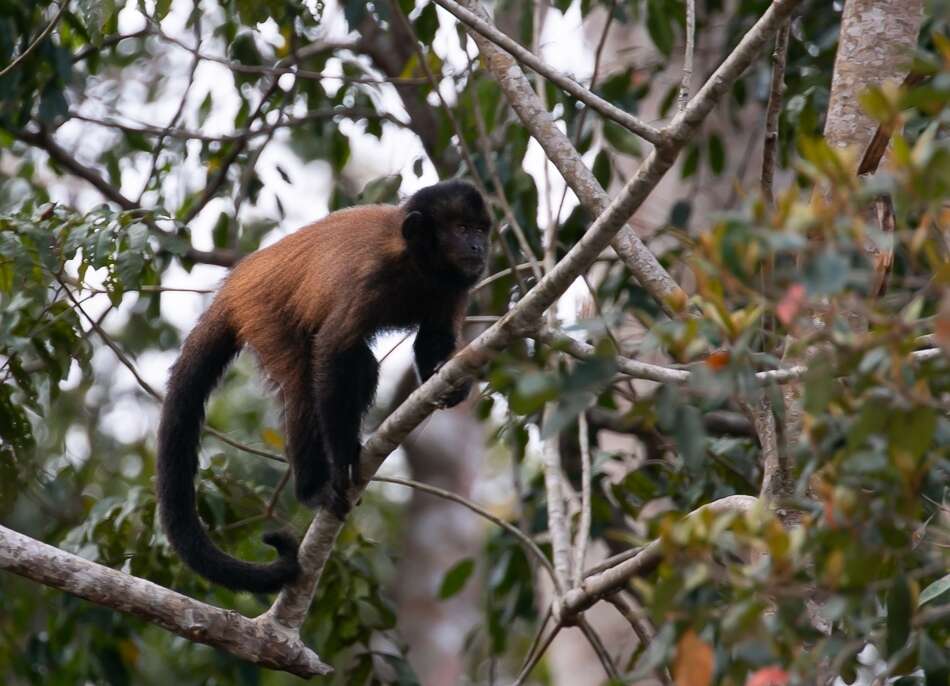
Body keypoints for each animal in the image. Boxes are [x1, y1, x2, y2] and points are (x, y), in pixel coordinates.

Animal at [156, 180, 490, 592]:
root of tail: (234, 283)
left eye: (481, 230)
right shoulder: (372, 278)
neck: (415, 263)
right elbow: (333, 351)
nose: (479, 247)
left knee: (360, 369)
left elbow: (433, 340)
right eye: (461, 229)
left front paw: (450, 385)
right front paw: (343, 458)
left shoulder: (454, 286)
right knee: (306, 379)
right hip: (264, 312)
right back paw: (312, 488)